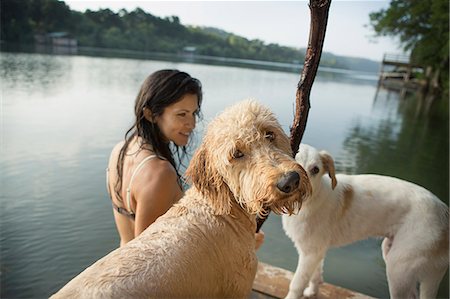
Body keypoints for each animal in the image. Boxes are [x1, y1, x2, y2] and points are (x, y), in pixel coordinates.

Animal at [284, 144, 448, 299]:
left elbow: (297, 283)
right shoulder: (315, 250)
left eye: (315, 169)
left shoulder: (310, 254)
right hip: (392, 252)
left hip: (398, 267)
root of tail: (444, 214)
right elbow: (315, 275)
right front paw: (312, 292)